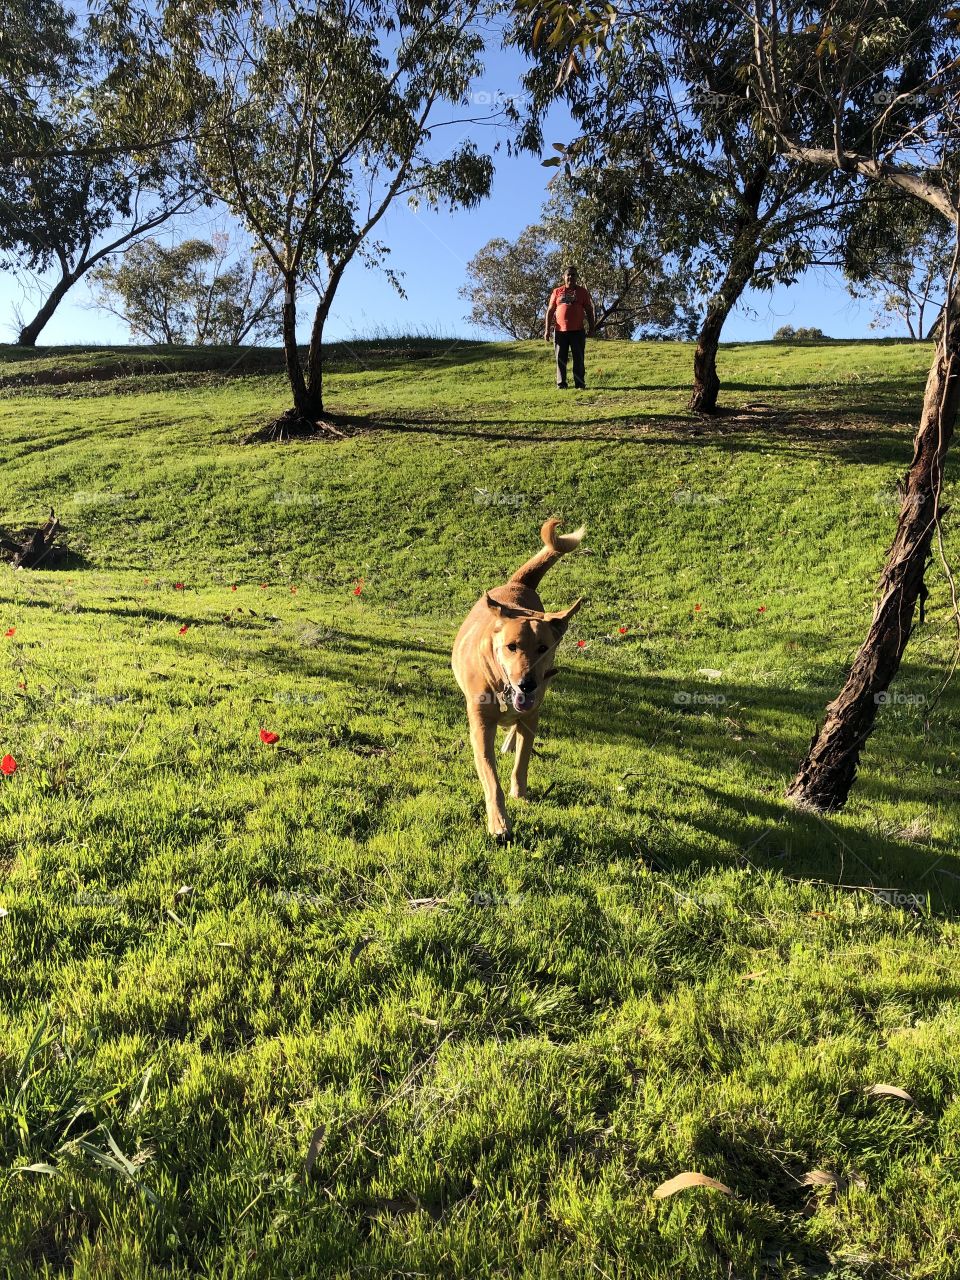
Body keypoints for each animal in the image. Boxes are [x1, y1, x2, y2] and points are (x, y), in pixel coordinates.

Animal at [453, 519, 583, 839]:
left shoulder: (532, 711)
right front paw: (499, 822)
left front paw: (519, 794)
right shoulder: (480, 726)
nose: (527, 683)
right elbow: (490, 776)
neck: (502, 688)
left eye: (543, 648)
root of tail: (518, 585)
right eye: (511, 646)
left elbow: (522, 760)